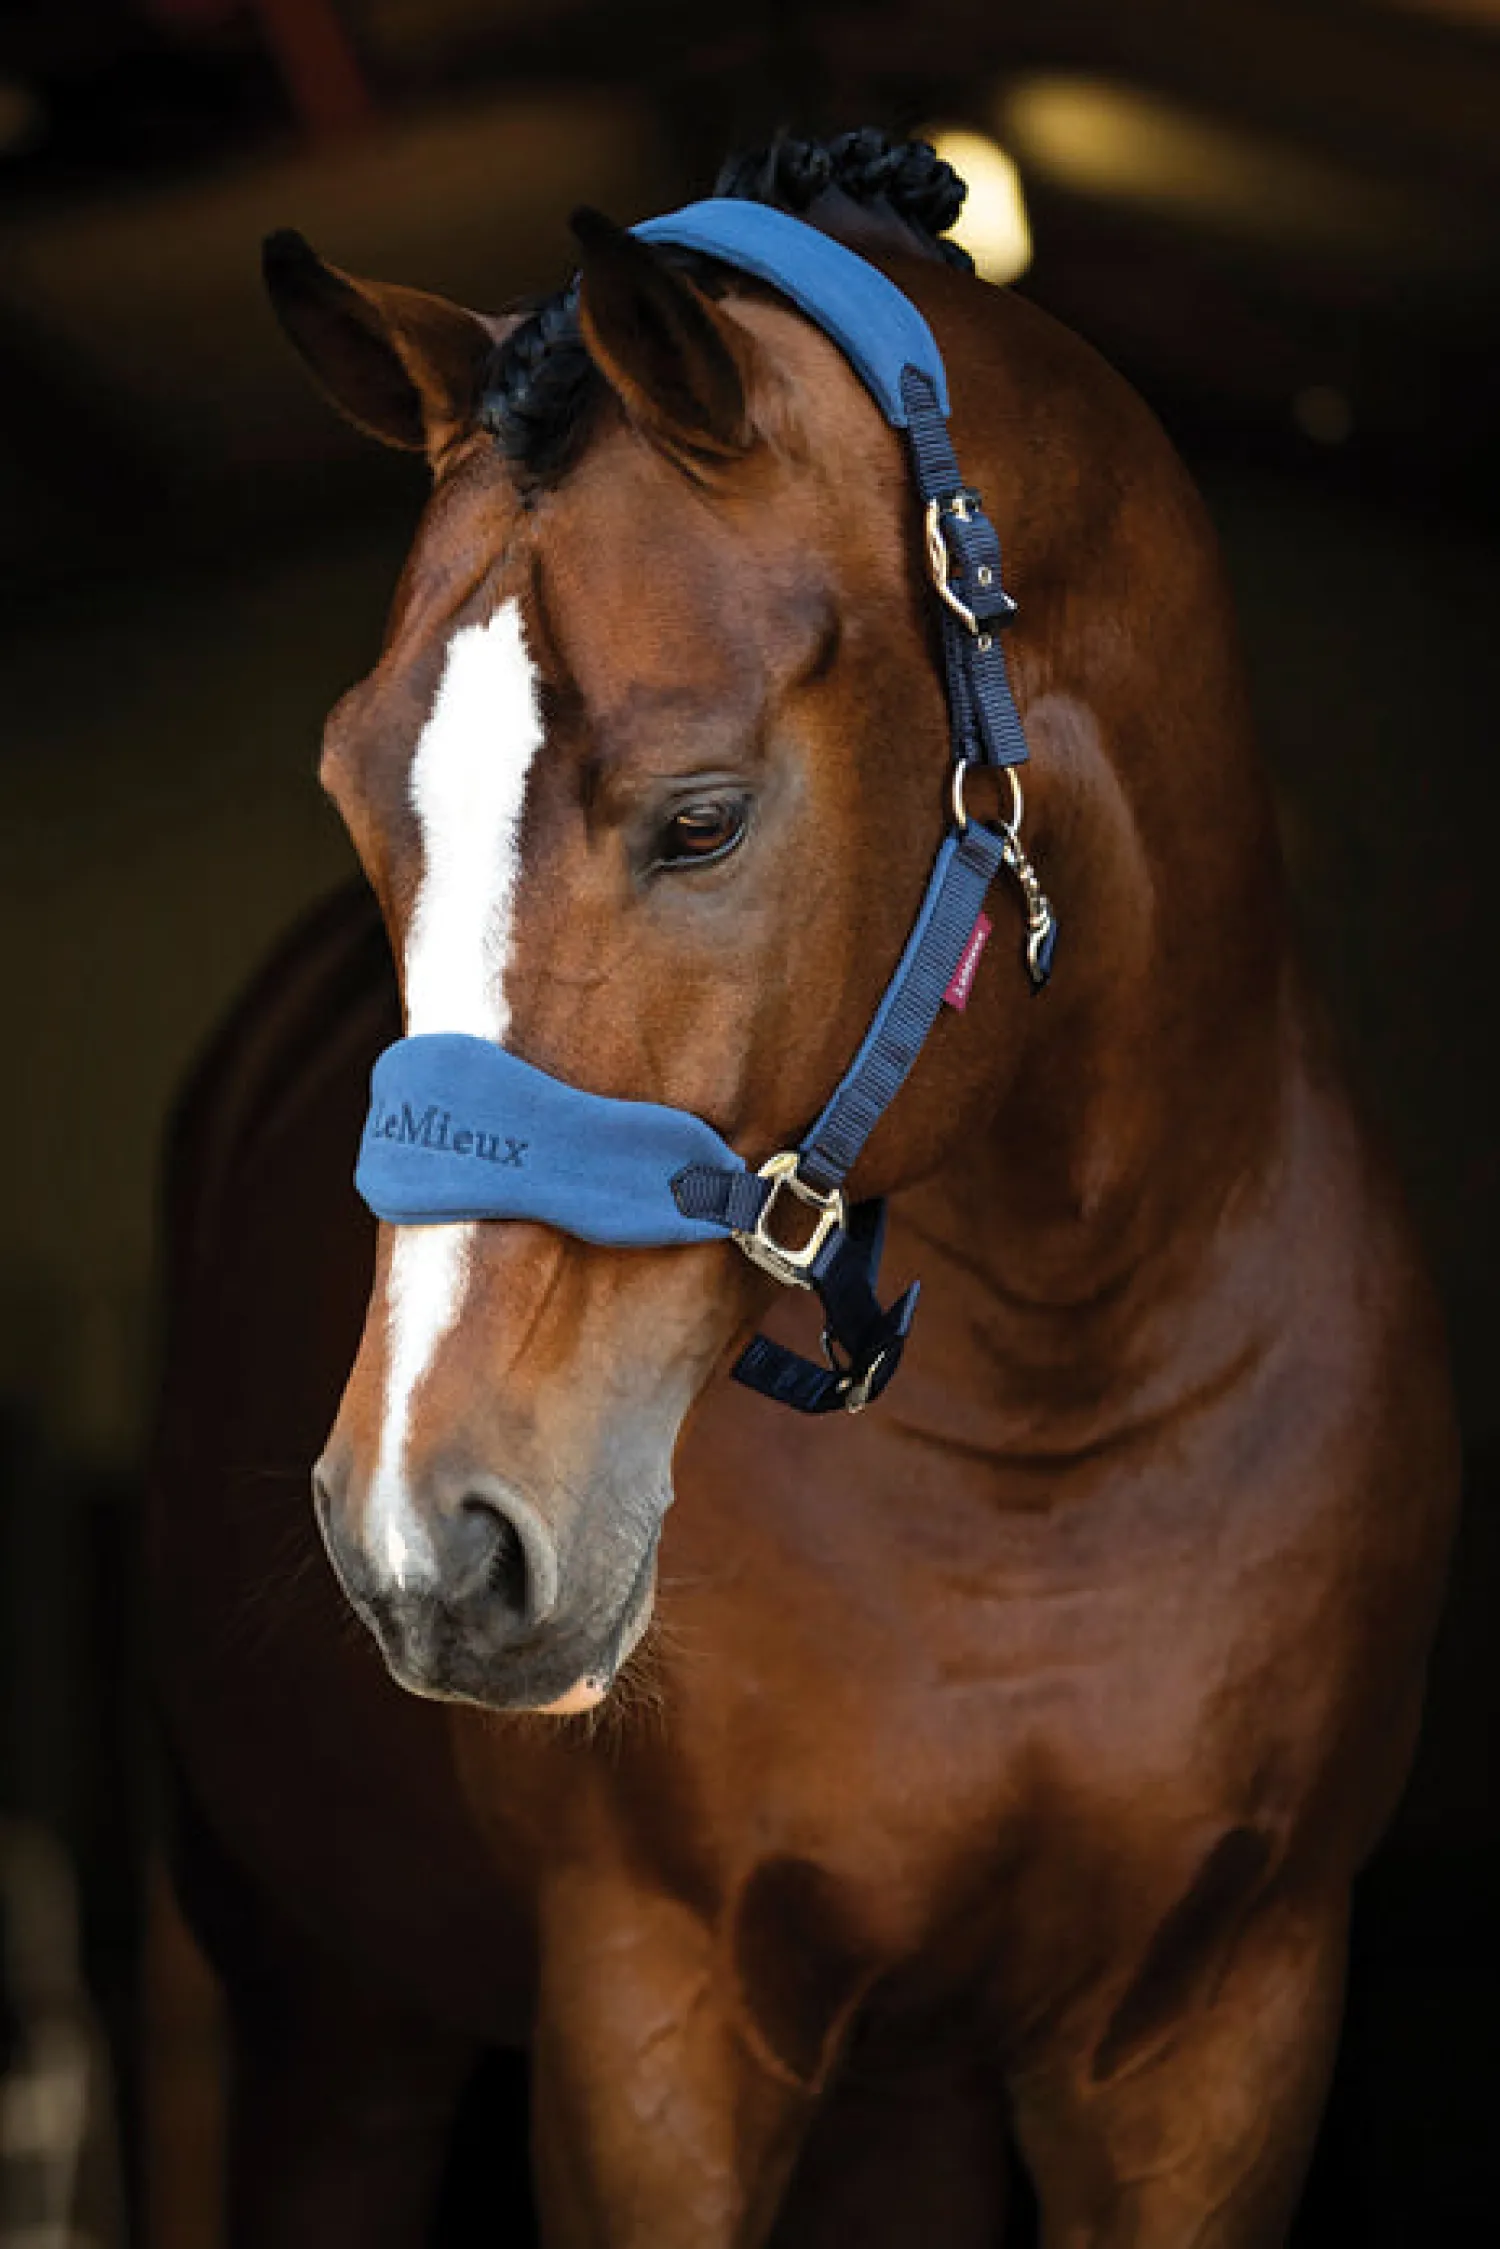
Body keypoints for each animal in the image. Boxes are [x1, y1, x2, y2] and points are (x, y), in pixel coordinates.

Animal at [149, 133, 1457, 2247]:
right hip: (320, 2018)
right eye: (357, 798)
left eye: (702, 817)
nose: (428, 1536)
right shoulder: (656, 2027)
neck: (1062, 1417)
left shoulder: (1219, 2033)